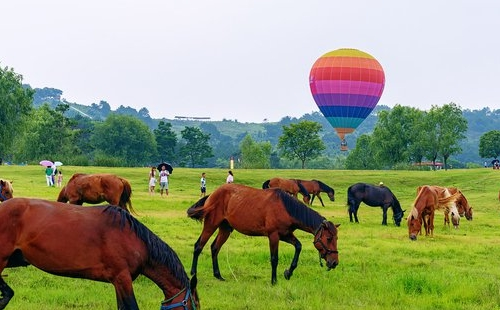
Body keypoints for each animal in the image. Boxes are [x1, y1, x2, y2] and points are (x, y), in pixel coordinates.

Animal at [188, 184, 340, 286]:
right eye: (328, 238)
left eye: (336, 239)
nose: (334, 263)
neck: (286, 208)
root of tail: (213, 194)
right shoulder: (273, 236)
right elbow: (274, 259)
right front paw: (274, 281)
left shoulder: (285, 234)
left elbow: (298, 246)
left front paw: (288, 272)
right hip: (210, 225)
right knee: (198, 246)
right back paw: (193, 273)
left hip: (225, 229)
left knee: (215, 248)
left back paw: (218, 275)